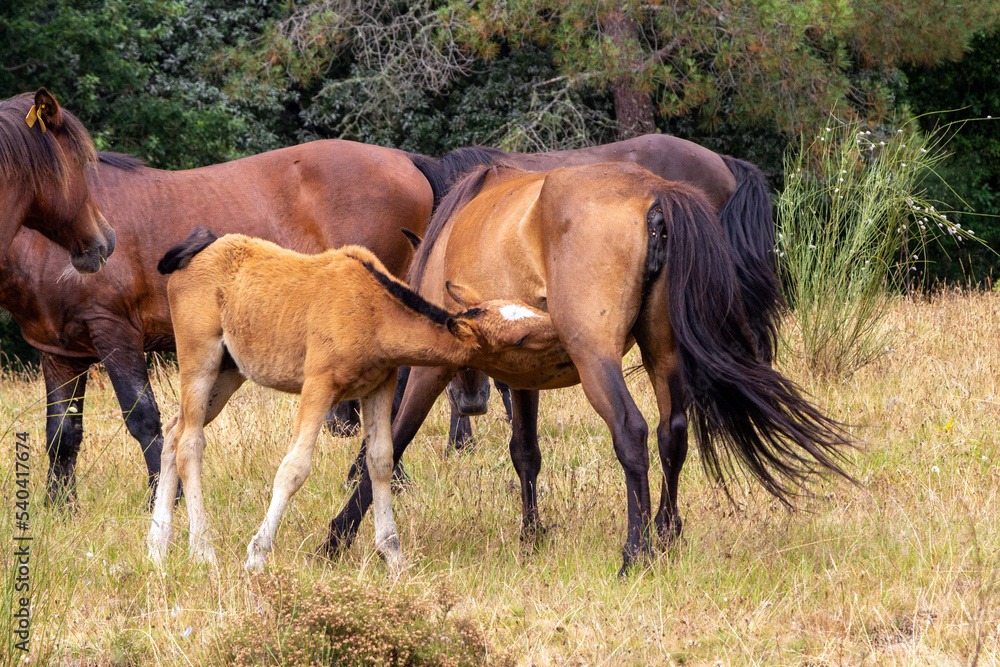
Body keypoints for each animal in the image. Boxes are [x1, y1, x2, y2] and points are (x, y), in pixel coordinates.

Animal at [3, 142, 434, 506]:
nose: (101, 244)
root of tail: (405, 159)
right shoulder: (60, 353)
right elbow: (62, 434)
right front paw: (59, 505)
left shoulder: (114, 330)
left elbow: (143, 418)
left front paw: (165, 498)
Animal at [146, 227, 564, 572]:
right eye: (521, 338)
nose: (561, 332)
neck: (374, 313)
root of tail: (192, 253)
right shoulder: (319, 386)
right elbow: (294, 468)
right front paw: (257, 555)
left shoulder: (378, 387)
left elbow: (380, 461)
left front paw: (393, 555)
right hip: (200, 359)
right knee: (190, 442)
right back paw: (202, 549)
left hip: (229, 371)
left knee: (174, 431)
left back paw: (158, 545)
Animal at [322, 162, 852, 576]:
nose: (472, 403)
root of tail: (654, 195)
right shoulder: (523, 375)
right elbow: (525, 453)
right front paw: (531, 534)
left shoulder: (436, 372)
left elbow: (390, 445)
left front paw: (336, 536)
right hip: (662, 355)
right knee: (672, 434)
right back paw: (666, 535)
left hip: (596, 359)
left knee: (632, 432)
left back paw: (636, 552)